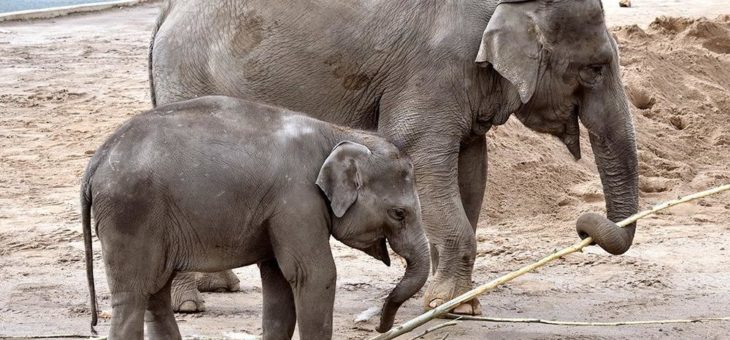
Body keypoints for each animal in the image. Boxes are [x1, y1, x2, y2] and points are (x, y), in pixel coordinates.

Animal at [80, 95, 430, 340]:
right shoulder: (297, 200)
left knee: (155, 294)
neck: (337, 134)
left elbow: (278, 281)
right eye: (399, 213)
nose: (381, 328)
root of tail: (96, 159)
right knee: (133, 294)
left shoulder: (280, 211)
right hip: (130, 213)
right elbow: (314, 274)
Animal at [149, 0, 636, 316]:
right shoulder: (435, 69)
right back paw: (190, 305)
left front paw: (451, 298)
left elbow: (471, 169)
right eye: (595, 68)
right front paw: (452, 308)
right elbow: (424, 155)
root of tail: (164, 16)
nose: (584, 224)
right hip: (192, 79)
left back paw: (218, 287)